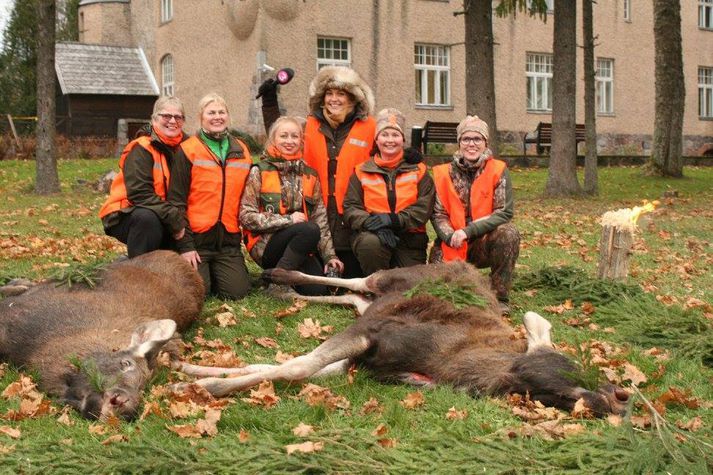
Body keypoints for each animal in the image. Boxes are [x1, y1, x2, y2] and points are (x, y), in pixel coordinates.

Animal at [177, 260, 628, 416]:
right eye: (571, 379)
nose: (616, 401)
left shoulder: (363, 360)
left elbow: (275, 365)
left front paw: (188, 371)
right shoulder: (374, 334)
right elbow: (296, 366)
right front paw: (205, 384)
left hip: (374, 302)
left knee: (355, 296)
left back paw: (283, 288)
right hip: (392, 278)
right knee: (359, 280)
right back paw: (278, 275)